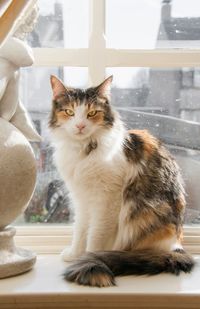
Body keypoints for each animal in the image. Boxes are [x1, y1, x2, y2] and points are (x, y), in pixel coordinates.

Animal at [49, 74, 195, 286]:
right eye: (69, 112)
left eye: (92, 113)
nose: (80, 126)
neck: (83, 152)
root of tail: (176, 245)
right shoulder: (81, 198)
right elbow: (80, 229)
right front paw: (75, 254)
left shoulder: (107, 199)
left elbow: (95, 234)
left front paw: (89, 257)